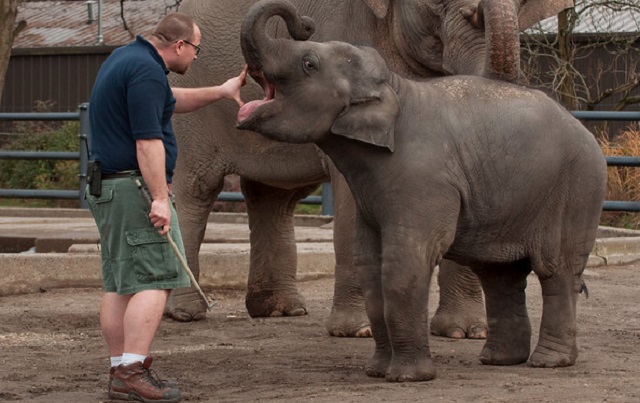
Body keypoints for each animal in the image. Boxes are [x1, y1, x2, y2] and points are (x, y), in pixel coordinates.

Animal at [166, 0, 576, 340]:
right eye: (436, 2)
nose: (305, 26)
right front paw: (359, 331)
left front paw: (466, 333)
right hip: (189, 103)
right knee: (195, 189)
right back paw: (185, 314)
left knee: (275, 198)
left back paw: (282, 311)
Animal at [238, 0, 608, 384]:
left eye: (308, 63)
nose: (305, 23)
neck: (395, 87)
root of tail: (583, 128)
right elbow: (371, 264)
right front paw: (376, 372)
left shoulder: (422, 180)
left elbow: (405, 262)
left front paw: (407, 378)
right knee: (500, 275)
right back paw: (499, 360)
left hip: (577, 191)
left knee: (556, 270)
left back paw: (549, 362)